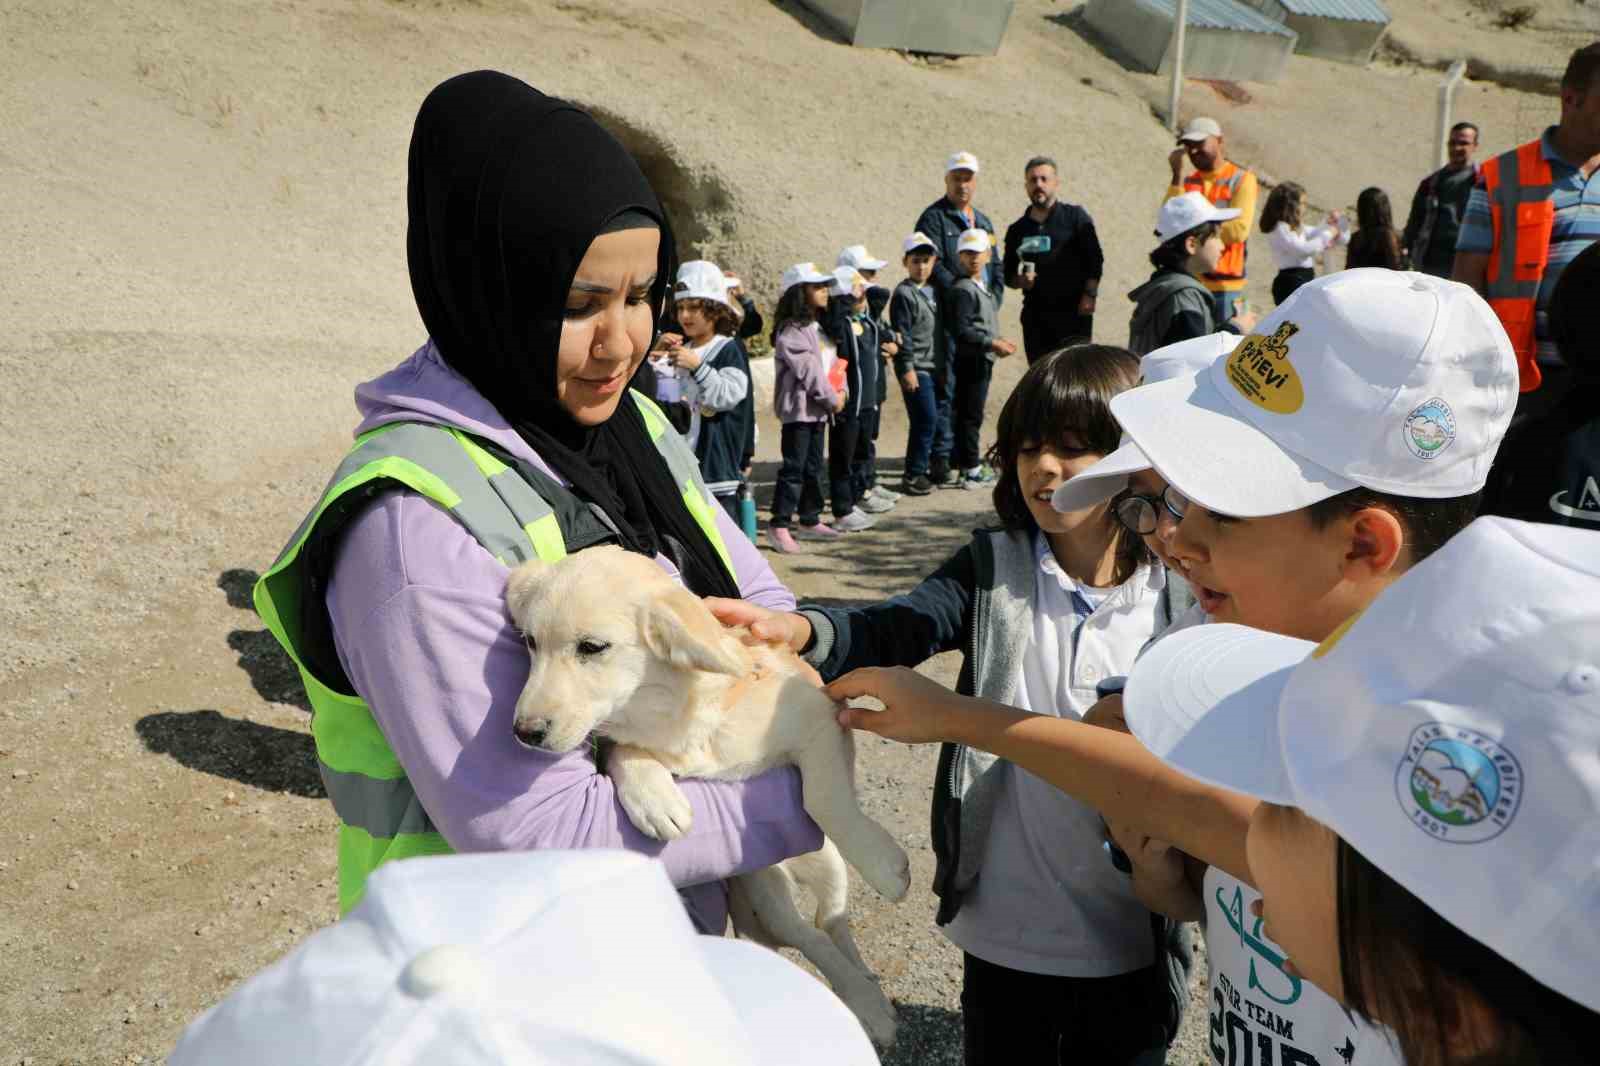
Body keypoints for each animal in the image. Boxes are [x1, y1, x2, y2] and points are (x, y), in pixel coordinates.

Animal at [512, 544, 915, 1043]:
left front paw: (883, 867)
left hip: (829, 864)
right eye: (530, 642)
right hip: (764, 888)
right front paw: (654, 801)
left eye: (592, 647)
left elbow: (821, 796)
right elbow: (623, 750)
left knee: (833, 921)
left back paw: (868, 993)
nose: (524, 733)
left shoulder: (819, 718)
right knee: (812, 934)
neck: (669, 713)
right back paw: (864, 998)